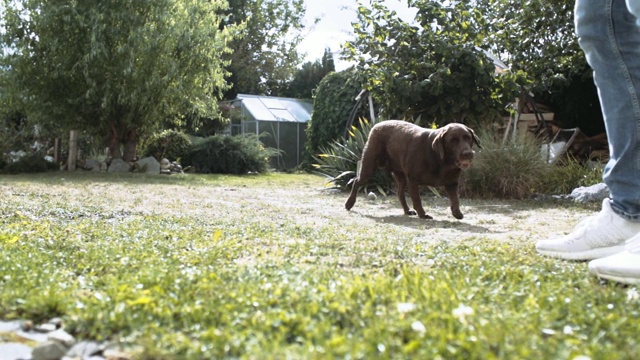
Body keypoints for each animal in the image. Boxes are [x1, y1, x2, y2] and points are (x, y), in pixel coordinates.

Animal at [344, 120, 480, 219]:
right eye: (453, 140)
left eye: (468, 138)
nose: (468, 153)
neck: (440, 160)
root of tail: (376, 125)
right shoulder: (413, 180)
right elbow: (417, 199)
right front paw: (423, 214)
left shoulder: (452, 183)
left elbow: (455, 199)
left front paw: (457, 213)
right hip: (369, 167)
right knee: (356, 181)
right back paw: (349, 204)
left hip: (400, 175)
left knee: (399, 193)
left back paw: (407, 211)